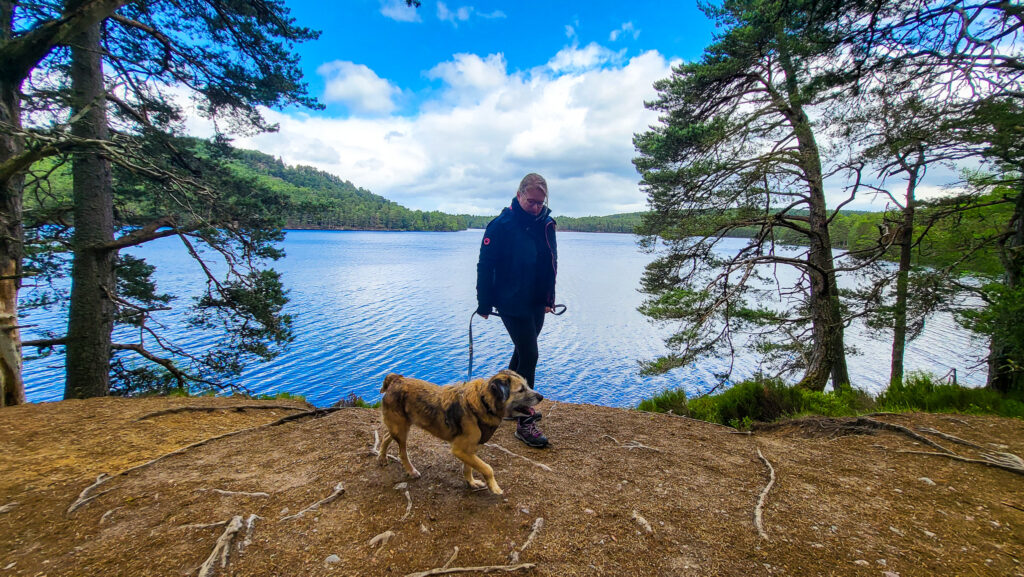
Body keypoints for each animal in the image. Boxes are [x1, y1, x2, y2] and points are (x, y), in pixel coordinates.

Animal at [378, 371, 544, 496]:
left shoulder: (469, 448)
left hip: (399, 427)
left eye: (527, 385)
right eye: (521, 389)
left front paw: (471, 482)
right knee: (402, 452)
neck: (483, 403)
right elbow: (487, 468)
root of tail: (396, 379)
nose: (541, 397)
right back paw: (411, 470)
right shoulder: (459, 449)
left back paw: (382, 457)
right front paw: (494, 487)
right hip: (401, 428)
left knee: (386, 436)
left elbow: (469, 467)